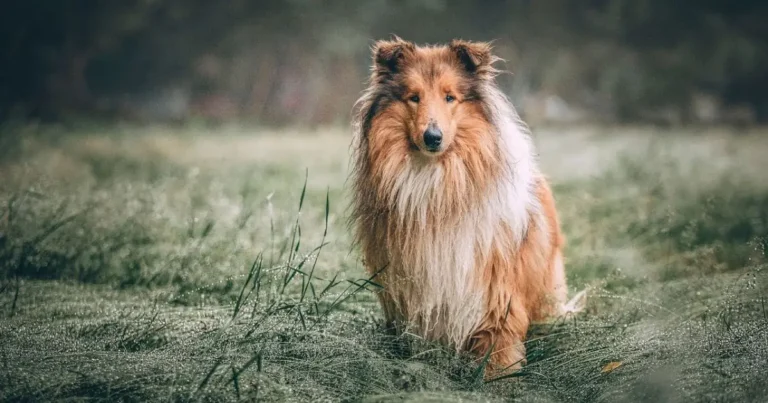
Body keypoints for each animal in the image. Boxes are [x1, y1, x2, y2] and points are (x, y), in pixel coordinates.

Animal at [348, 38, 584, 378]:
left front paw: (498, 378)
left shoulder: (495, 292)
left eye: (450, 98)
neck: (436, 183)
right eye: (414, 97)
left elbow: (497, 345)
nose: (432, 138)